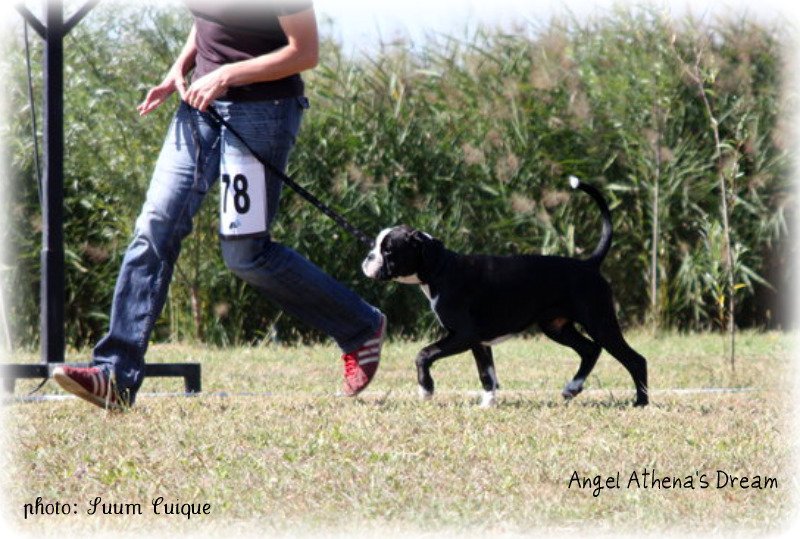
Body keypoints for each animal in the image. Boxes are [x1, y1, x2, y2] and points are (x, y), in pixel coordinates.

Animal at [362, 179, 648, 408]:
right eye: (375, 246)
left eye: (389, 250)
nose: (368, 258)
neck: (441, 267)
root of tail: (589, 264)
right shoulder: (478, 342)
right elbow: (487, 374)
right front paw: (488, 403)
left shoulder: (463, 335)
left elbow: (424, 354)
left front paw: (426, 390)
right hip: (556, 327)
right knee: (590, 350)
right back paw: (572, 388)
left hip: (600, 324)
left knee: (635, 360)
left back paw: (640, 402)